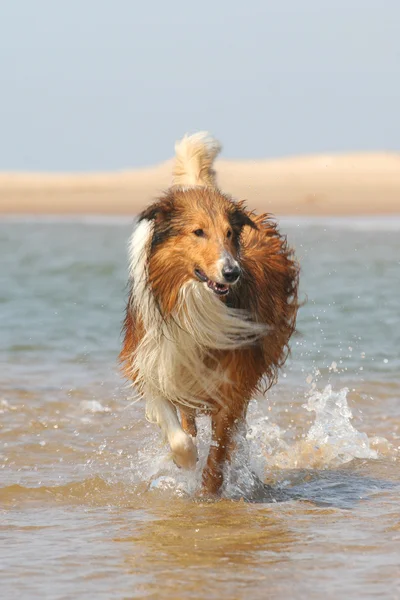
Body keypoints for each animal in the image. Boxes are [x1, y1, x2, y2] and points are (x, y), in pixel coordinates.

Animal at [120, 134, 298, 494]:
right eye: (198, 232)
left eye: (229, 233)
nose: (231, 272)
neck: (194, 303)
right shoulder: (153, 359)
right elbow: (176, 431)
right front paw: (185, 461)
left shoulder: (232, 382)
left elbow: (219, 451)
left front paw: (209, 492)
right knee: (187, 419)